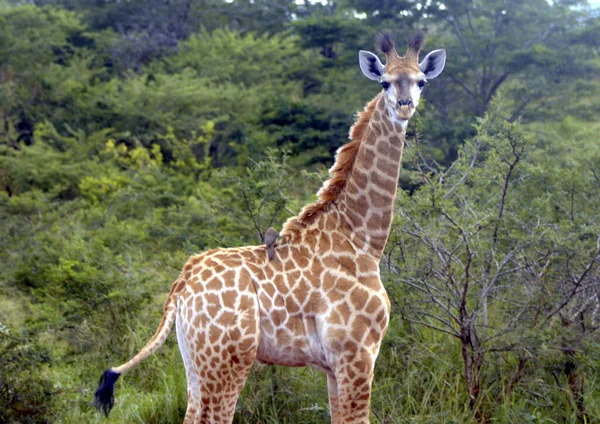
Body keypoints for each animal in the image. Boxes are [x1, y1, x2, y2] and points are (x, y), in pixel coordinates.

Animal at [95, 30, 446, 424]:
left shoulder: (333, 366)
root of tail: (182, 285)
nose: (404, 104)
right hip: (228, 361)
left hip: (195, 362)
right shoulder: (357, 353)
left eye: (421, 81)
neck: (362, 238)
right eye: (385, 81)